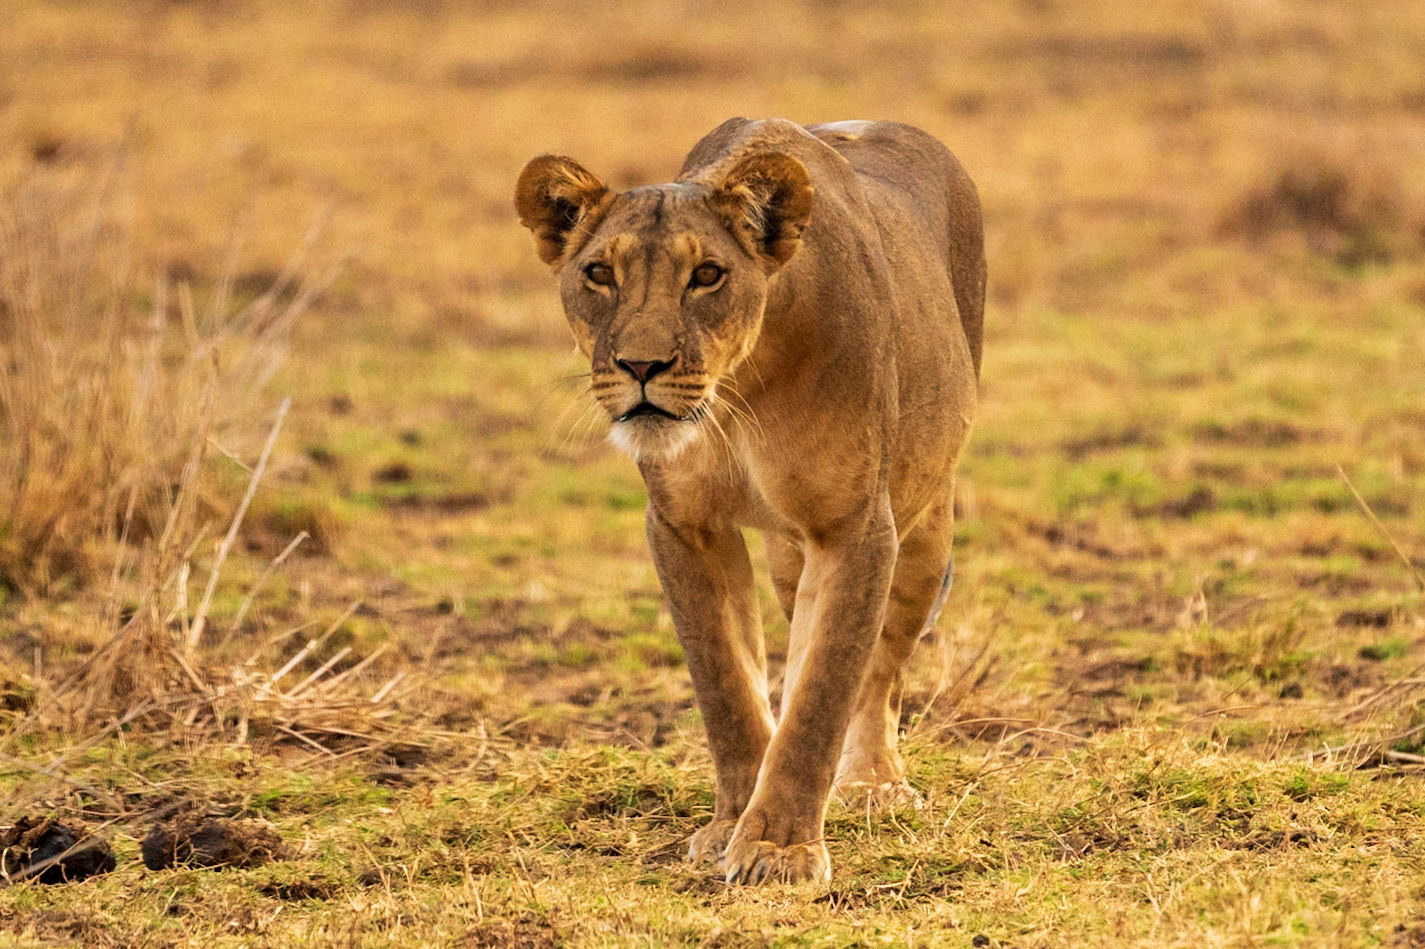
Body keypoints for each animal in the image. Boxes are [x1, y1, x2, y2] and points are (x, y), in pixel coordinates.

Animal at [515, 117, 984, 885]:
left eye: (707, 274)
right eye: (599, 274)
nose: (641, 366)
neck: (741, 391)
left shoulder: (855, 526)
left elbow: (822, 694)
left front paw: (778, 847)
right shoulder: (684, 525)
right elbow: (726, 686)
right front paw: (732, 823)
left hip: (924, 526)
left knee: (881, 670)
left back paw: (873, 782)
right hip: (793, 557)